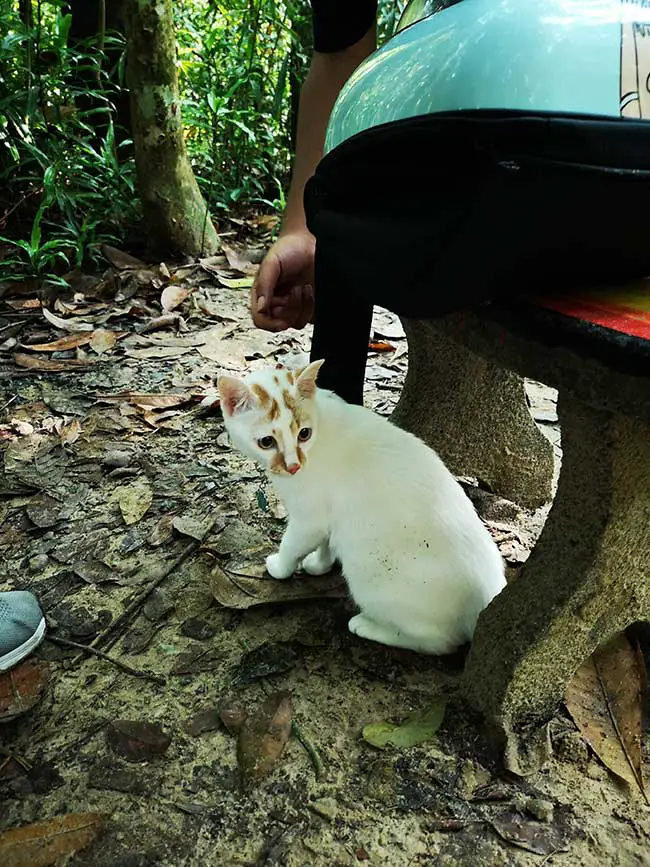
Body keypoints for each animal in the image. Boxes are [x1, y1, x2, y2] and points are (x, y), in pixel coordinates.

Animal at [218, 362, 506, 656]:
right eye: (266, 442)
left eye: (304, 434)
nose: (293, 466)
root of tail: (487, 599)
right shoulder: (327, 514)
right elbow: (326, 542)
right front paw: (319, 564)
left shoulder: (309, 519)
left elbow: (292, 545)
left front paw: (280, 567)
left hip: (370, 576)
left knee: (437, 642)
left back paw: (367, 626)